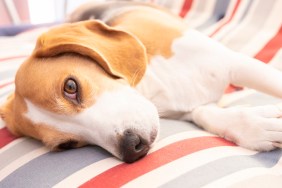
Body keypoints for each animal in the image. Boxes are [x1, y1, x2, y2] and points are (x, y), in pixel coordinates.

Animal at [0, 1, 282, 163]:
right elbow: (206, 114)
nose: (131, 147)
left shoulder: (234, 63)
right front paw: (256, 127)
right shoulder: (189, 110)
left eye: (70, 87)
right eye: (68, 145)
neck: (154, 85)